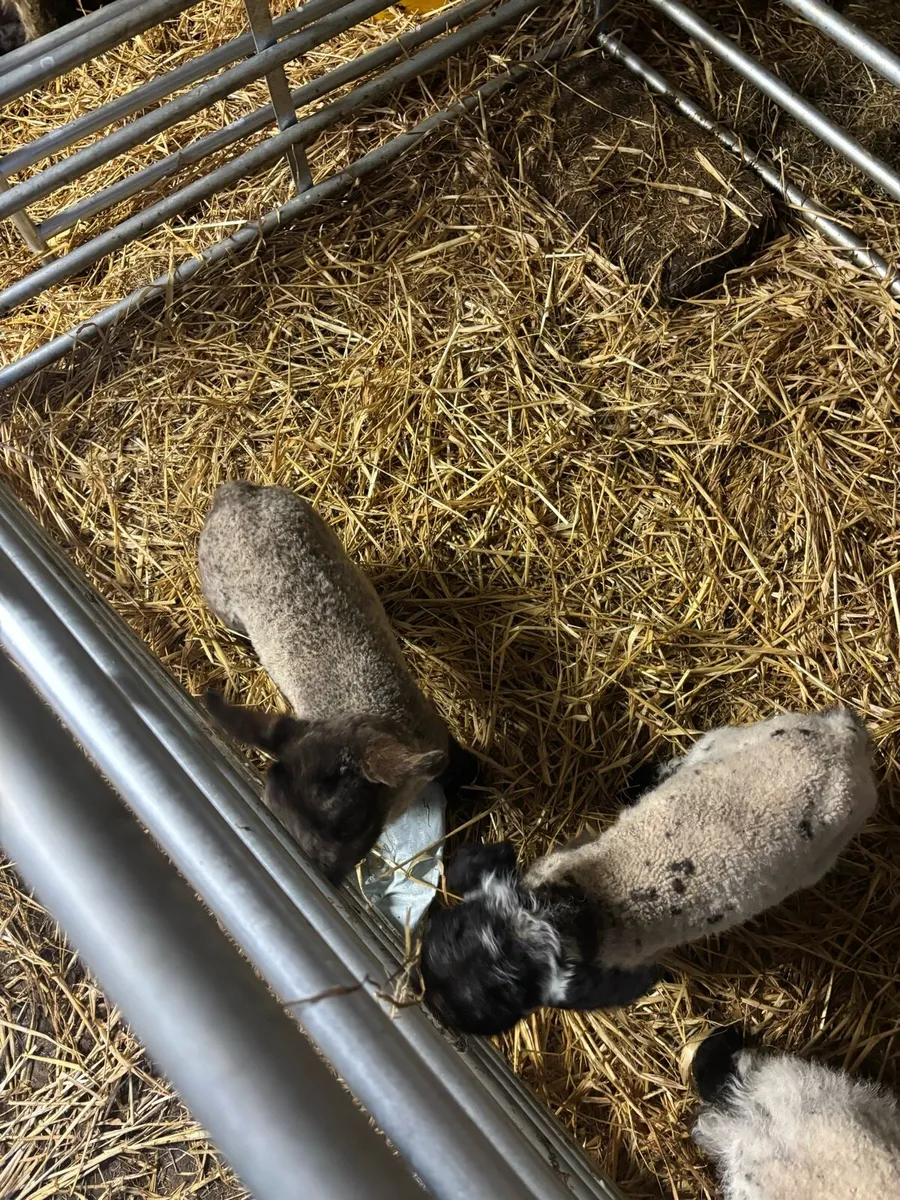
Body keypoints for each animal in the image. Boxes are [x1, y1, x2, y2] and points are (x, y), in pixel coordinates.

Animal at [420, 708, 875, 1036]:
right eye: (454, 930)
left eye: (508, 999)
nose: (434, 1007)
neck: (580, 903)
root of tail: (843, 736)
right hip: (739, 736)